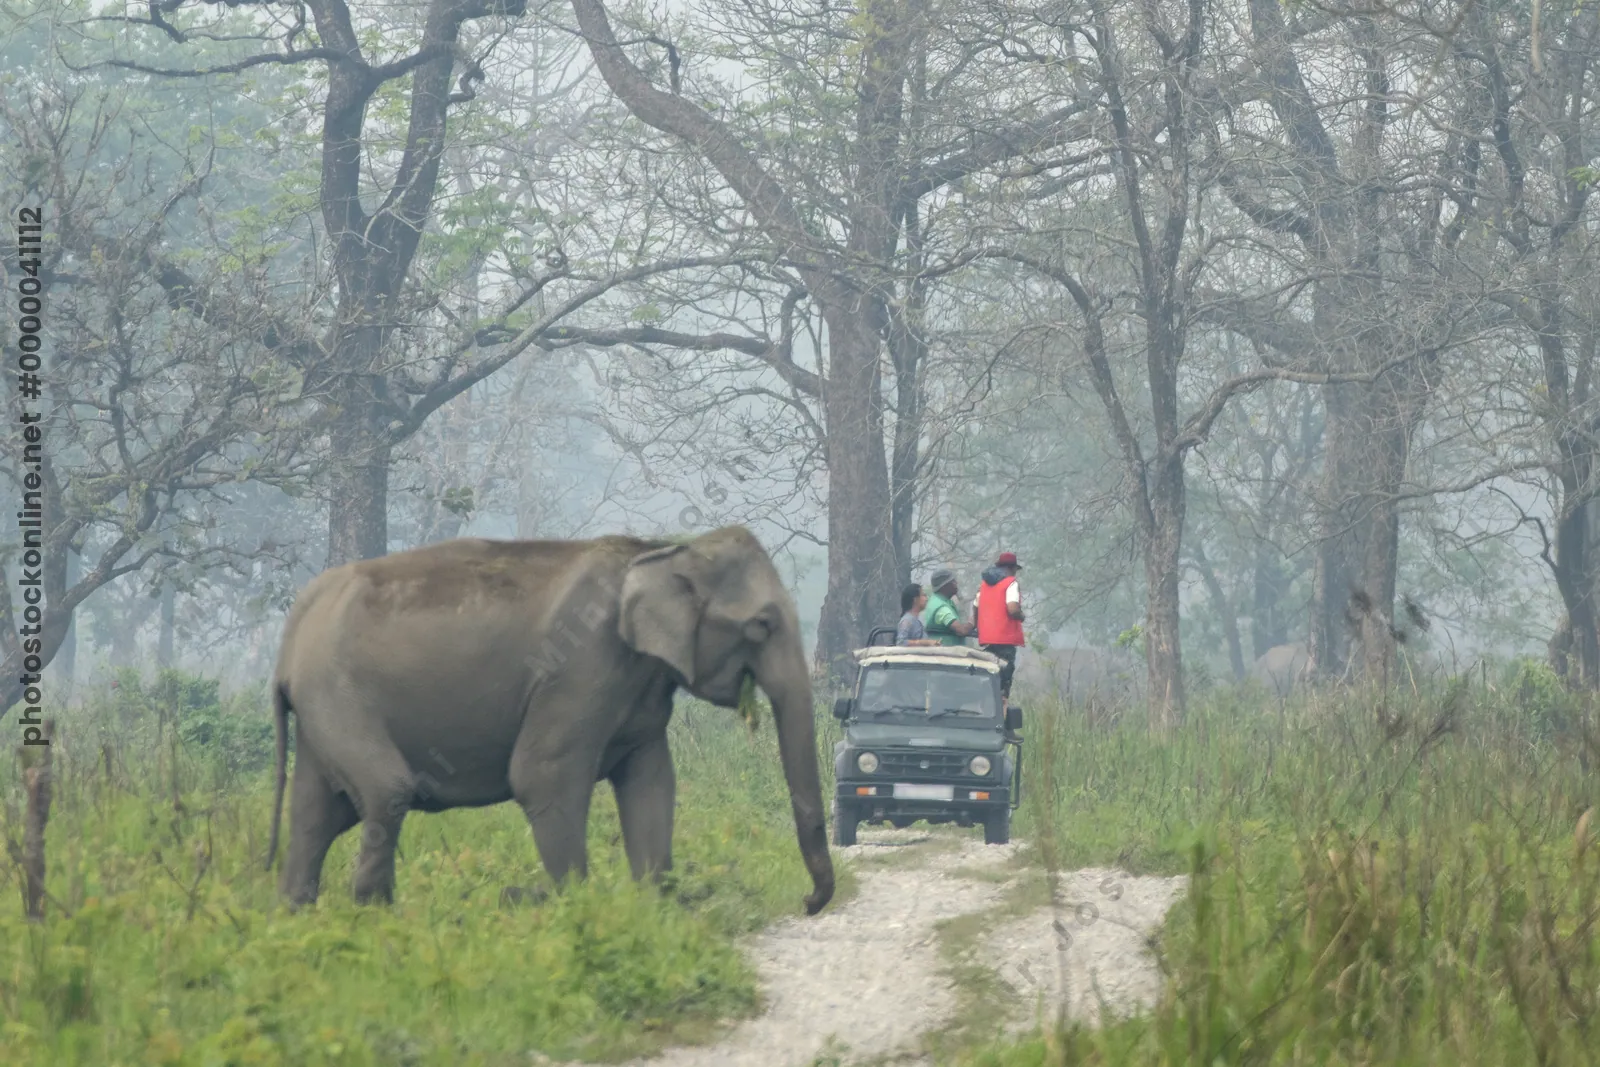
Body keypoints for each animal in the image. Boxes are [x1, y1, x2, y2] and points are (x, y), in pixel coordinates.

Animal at [265, 526, 834, 916]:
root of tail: (295, 627)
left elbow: (651, 781)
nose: (807, 902)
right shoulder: (581, 668)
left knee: (316, 814)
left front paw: (654, 905)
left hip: (321, 711)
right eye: (761, 625)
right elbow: (543, 777)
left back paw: (297, 915)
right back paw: (374, 915)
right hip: (337, 694)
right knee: (385, 792)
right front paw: (572, 907)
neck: (662, 549)